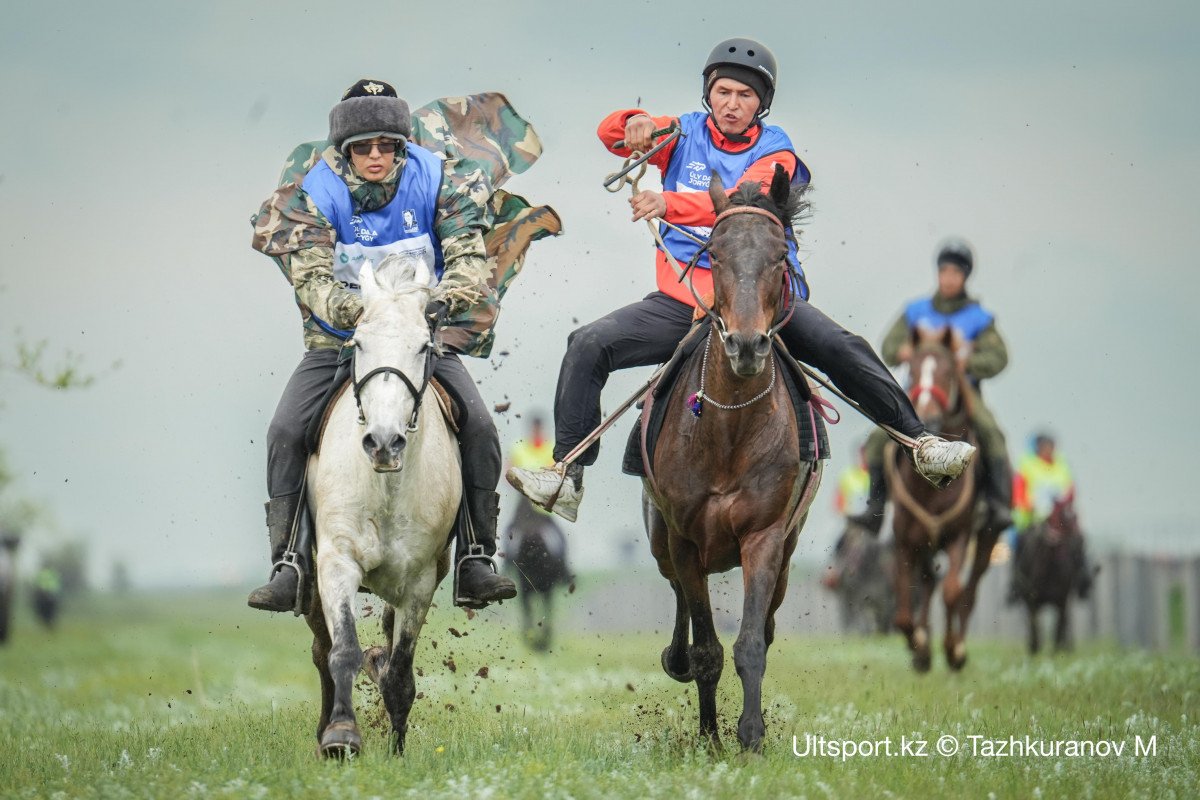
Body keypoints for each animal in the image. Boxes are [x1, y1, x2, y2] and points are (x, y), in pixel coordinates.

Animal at [304, 251, 458, 758]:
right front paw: (340, 736)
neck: (386, 488)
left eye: (424, 347)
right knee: (321, 650)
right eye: (358, 343)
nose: (384, 443)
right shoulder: (336, 560)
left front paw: (397, 750)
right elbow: (343, 650)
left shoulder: (420, 582)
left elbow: (399, 673)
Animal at [643, 165, 820, 753]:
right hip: (661, 542)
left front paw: (751, 735)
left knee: (763, 624)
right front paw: (711, 738)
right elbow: (706, 650)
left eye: (779, 255)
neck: (729, 429)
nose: (745, 345)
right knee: (678, 597)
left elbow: (750, 645)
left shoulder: (765, 537)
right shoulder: (684, 537)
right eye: (715, 255)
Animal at [888, 328, 998, 671]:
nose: (927, 414)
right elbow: (902, 613)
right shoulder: (905, 540)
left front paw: (951, 649)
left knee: (970, 589)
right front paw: (920, 648)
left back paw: (957, 648)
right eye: (911, 370)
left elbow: (953, 592)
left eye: (948, 372)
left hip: (986, 541)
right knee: (927, 582)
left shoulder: (959, 535)